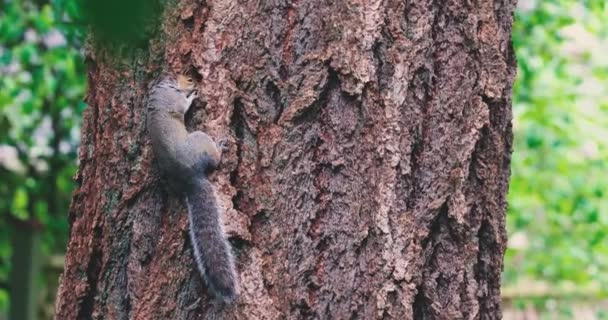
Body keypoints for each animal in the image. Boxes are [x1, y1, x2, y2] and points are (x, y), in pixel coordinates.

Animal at [147, 74, 240, 302]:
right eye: (188, 79)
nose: (194, 82)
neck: (163, 86)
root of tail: (190, 177)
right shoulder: (175, 100)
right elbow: (183, 105)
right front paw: (193, 95)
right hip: (200, 138)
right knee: (214, 158)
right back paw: (220, 147)